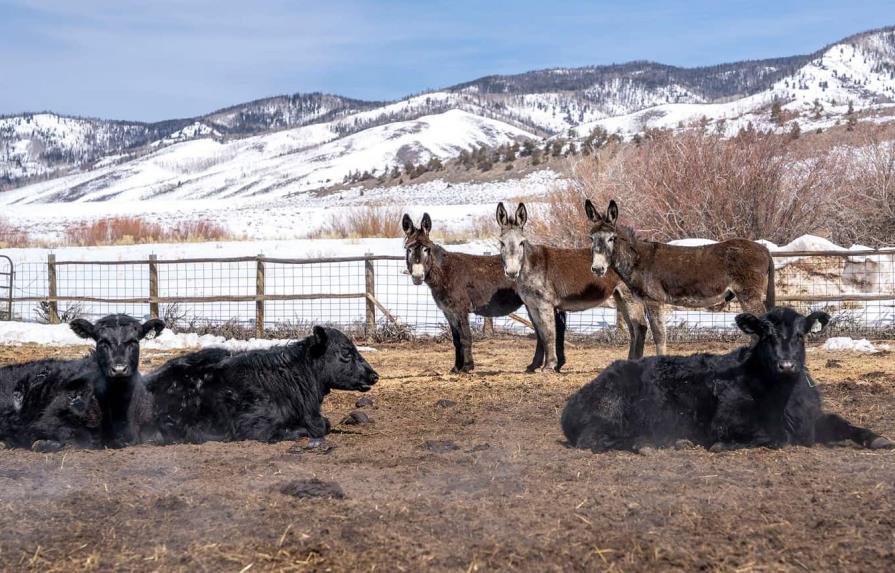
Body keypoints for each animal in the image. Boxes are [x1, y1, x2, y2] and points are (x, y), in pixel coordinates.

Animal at [564, 308, 892, 452]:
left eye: (801, 334)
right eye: (765, 334)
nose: (786, 365)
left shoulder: (811, 419)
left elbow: (840, 422)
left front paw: (876, 438)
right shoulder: (725, 423)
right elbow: (772, 437)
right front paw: (724, 446)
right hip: (609, 414)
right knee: (594, 440)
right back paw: (649, 443)